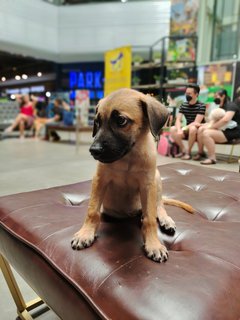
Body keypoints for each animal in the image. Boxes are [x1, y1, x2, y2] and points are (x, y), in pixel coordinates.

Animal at [71, 88, 193, 262]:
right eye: (97, 122)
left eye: (121, 120)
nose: (93, 150)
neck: (128, 157)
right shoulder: (99, 180)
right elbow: (92, 211)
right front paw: (85, 233)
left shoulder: (148, 185)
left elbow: (150, 219)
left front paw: (153, 244)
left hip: (157, 179)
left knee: (159, 205)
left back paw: (165, 220)